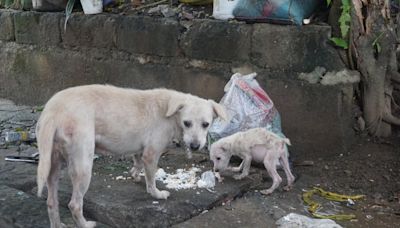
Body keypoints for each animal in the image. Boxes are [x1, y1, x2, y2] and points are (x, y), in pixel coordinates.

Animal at [36, 84, 227, 228]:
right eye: (187, 123)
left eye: (206, 124)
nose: (195, 146)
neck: (170, 111)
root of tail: (53, 111)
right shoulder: (151, 154)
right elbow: (151, 180)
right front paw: (156, 194)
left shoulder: (141, 151)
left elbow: (137, 163)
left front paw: (135, 174)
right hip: (83, 167)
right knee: (75, 204)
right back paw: (86, 224)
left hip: (52, 167)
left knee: (51, 202)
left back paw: (58, 224)